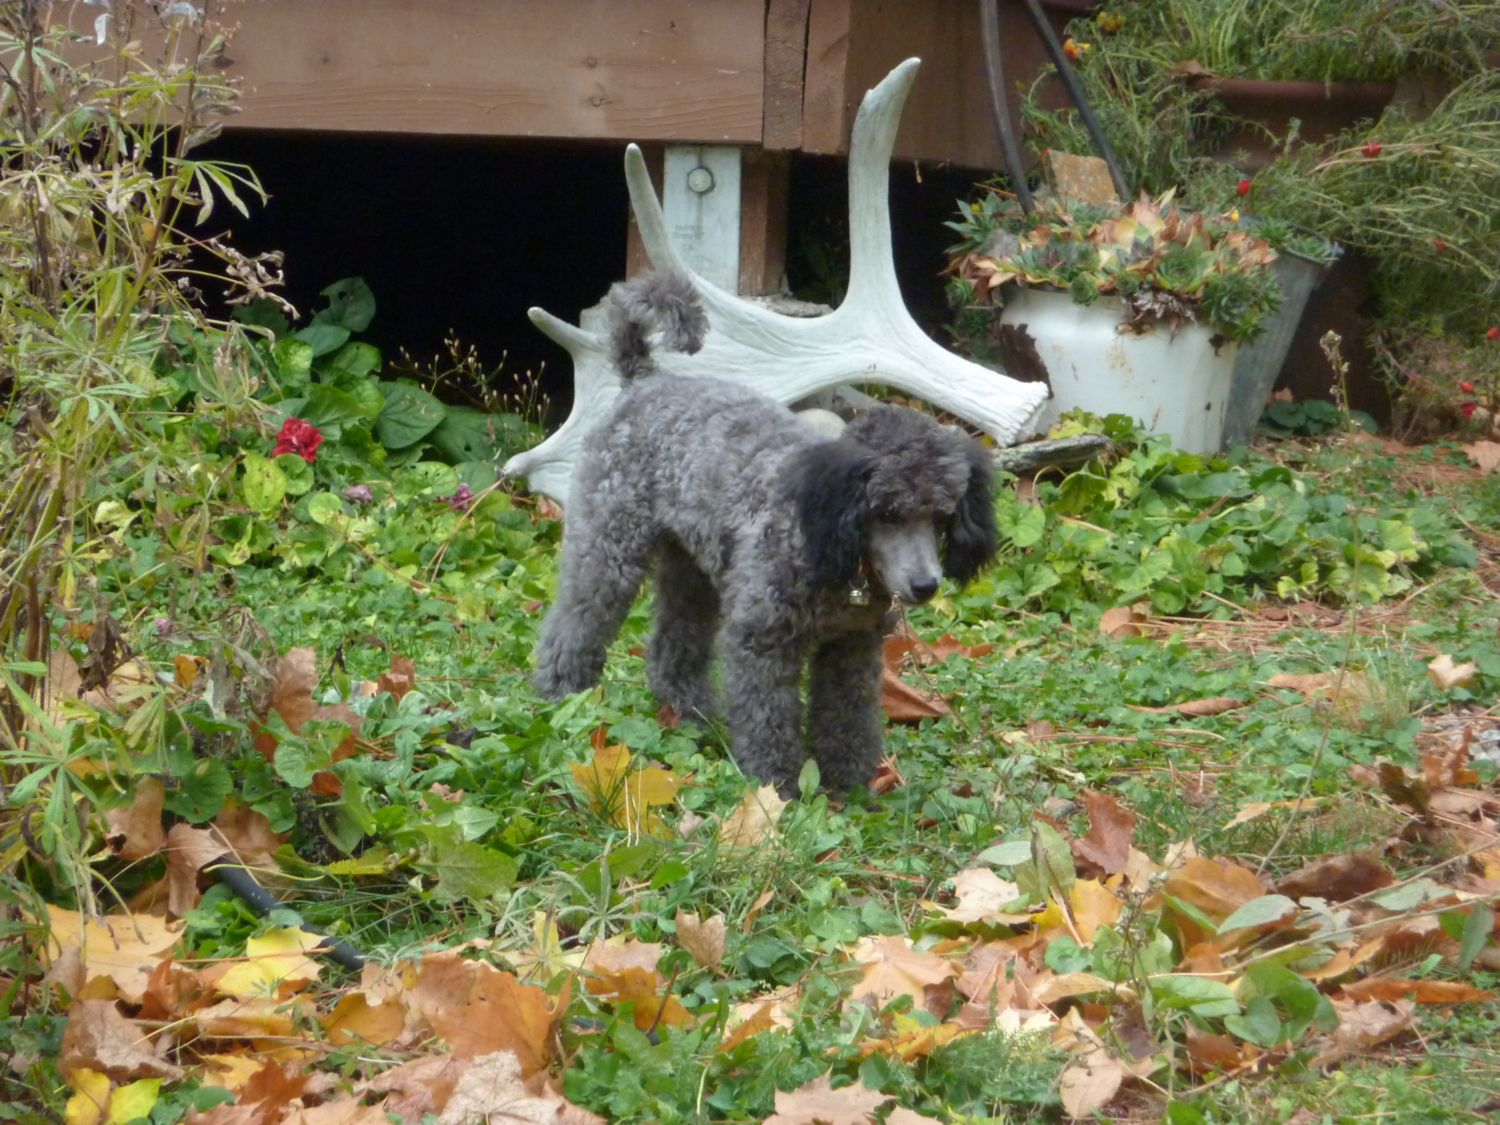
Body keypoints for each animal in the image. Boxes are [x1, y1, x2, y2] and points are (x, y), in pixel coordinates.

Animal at [532, 271, 998, 793]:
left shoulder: (852, 648)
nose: (925, 585)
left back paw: (693, 714)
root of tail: (645, 381)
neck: (829, 548)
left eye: (941, 515)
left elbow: (848, 719)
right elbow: (767, 720)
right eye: (887, 513)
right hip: (608, 550)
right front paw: (776, 786)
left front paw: (850, 786)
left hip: (691, 573)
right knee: (575, 624)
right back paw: (561, 697)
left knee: (672, 647)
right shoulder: (761, 641)